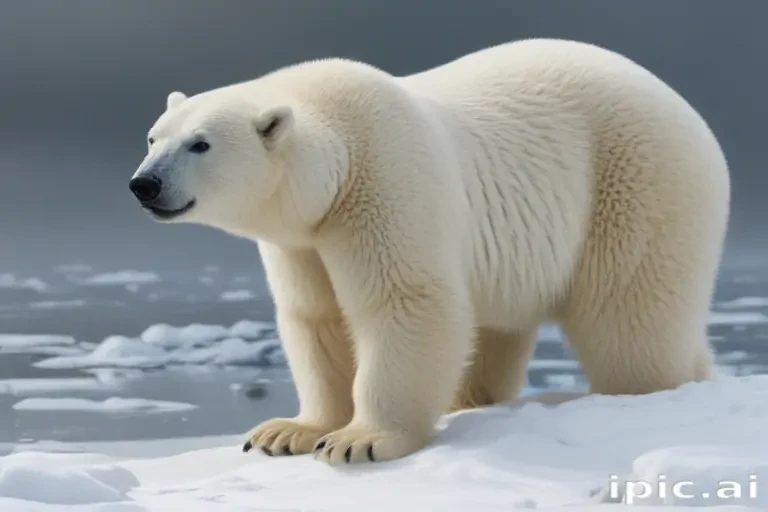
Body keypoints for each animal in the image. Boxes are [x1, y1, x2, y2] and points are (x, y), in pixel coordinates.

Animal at [128, 38, 730, 466]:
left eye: (200, 144)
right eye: (154, 137)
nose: (144, 184)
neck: (338, 156)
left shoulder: (386, 184)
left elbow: (406, 303)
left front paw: (362, 441)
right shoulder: (302, 239)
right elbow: (316, 317)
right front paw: (287, 431)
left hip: (636, 182)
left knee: (627, 316)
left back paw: (646, 394)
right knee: (497, 331)